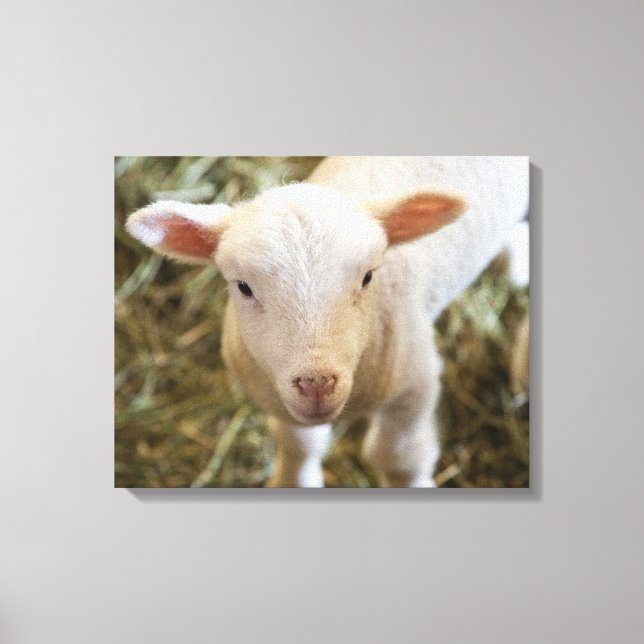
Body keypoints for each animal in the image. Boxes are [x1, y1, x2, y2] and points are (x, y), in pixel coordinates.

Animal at [126, 156, 529, 488]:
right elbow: (299, 445)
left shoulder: (415, 385)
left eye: (368, 277)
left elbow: (399, 460)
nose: (317, 384)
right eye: (243, 287)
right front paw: (292, 483)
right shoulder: (278, 398)